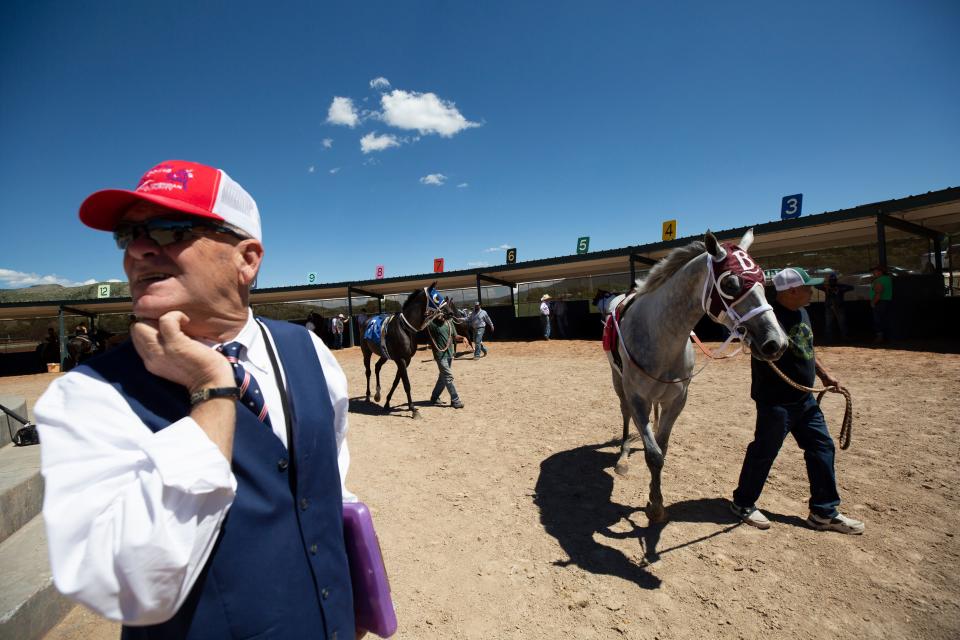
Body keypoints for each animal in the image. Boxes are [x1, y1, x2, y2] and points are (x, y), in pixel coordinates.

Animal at [608, 232, 788, 524]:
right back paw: (623, 456)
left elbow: (661, 447)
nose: (777, 343)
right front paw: (655, 507)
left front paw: (655, 500)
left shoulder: (677, 400)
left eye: (763, 279)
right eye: (730, 283)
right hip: (618, 381)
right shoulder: (637, 398)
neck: (660, 335)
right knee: (625, 414)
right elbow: (654, 454)